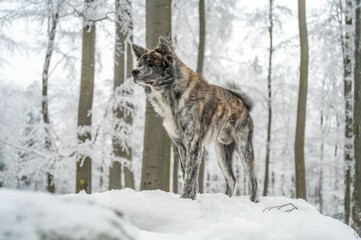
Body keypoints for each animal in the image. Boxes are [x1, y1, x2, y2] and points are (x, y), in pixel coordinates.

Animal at [131, 36, 258, 202]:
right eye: (139, 64)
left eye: (151, 63)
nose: (133, 71)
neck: (172, 95)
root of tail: (242, 103)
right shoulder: (181, 146)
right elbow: (187, 174)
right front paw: (191, 198)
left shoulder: (194, 143)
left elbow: (190, 176)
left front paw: (185, 198)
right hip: (222, 152)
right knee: (231, 179)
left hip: (244, 148)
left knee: (252, 178)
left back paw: (254, 201)